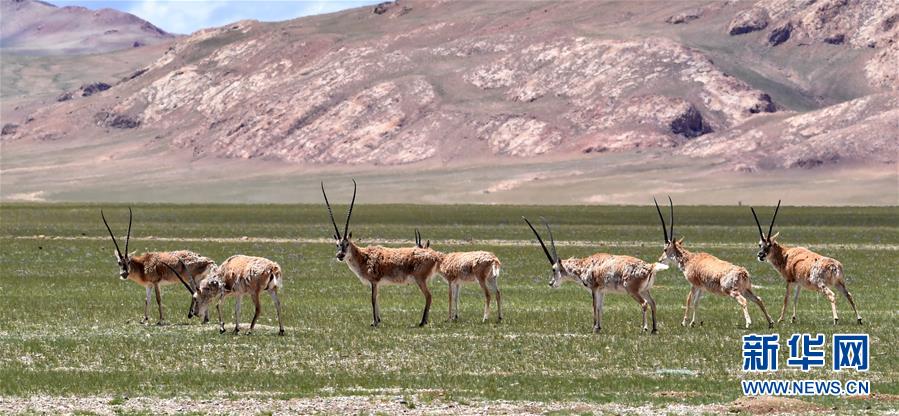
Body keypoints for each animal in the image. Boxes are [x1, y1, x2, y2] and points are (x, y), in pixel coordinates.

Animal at [322, 180, 442, 326]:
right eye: (337, 244)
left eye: (347, 244)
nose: (340, 255)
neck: (363, 256)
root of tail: (434, 256)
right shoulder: (377, 284)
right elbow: (377, 299)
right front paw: (378, 320)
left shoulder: (374, 281)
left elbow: (373, 300)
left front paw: (374, 322)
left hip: (420, 280)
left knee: (429, 296)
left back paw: (422, 322)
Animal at [520, 216, 668, 334]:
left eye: (554, 269)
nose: (551, 283)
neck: (585, 265)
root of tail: (650, 267)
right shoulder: (602, 290)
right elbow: (600, 307)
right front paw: (599, 327)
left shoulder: (594, 288)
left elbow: (594, 306)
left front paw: (594, 328)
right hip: (645, 290)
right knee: (653, 303)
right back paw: (654, 329)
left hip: (633, 291)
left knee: (644, 304)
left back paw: (644, 328)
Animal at [652, 197, 772, 330]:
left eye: (665, 249)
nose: (660, 259)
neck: (690, 259)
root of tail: (743, 272)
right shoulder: (702, 287)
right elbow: (696, 302)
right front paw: (693, 322)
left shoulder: (694, 284)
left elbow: (689, 300)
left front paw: (684, 322)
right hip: (746, 290)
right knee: (758, 299)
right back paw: (770, 322)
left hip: (733, 291)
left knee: (743, 301)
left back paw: (748, 323)